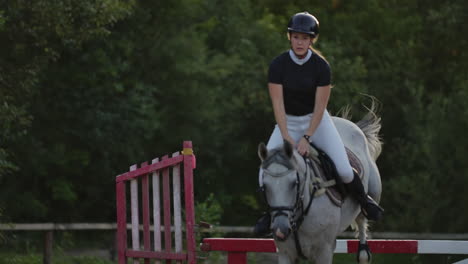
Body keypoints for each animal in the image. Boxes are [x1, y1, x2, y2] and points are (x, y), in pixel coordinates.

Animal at [258, 103, 382, 264]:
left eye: (294, 183)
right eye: (265, 187)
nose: (280, 229)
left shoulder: (324, 251)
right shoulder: (286, 253)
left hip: (373, 192)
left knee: (362, 217)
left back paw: (363, 251)